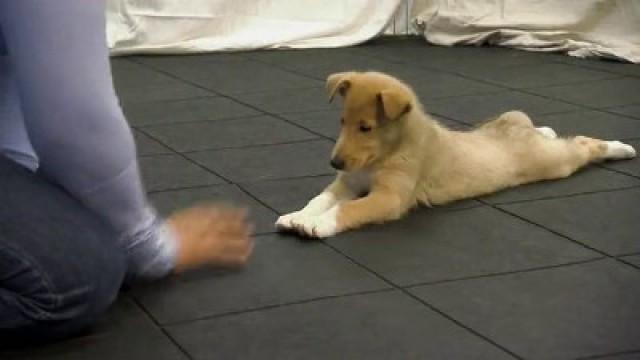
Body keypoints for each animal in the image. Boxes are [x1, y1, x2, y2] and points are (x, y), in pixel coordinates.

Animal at [276, 71, 636, 238]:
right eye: (342, 122)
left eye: (365, 127)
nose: (334, 162)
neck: (386, 153)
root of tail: (516, 132)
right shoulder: (348, 182)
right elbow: (321, 199)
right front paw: (298, 216)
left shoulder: (390, 198)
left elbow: (347, 209)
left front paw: (317, 224)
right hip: (510, 122)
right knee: (540, 126)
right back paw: (546, 128)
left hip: (555, 162)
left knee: (583, 145)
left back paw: (621, 148)